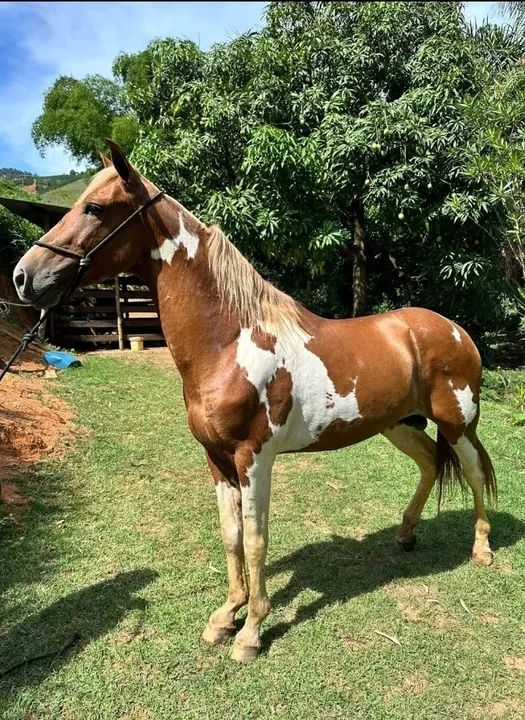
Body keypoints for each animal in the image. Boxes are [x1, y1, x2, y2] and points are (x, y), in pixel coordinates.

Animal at [13, 141, 497, 663]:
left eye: (95, 208)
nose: (23, 277)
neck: (230, 344)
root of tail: (454, 329)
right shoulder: (216, 460)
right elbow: (231, 537)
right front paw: (227, 615)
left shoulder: (254, 459)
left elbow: (257, 539)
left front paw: (251, 632)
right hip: (399, 424)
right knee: (429, 464)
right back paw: (405, 535)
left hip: (456, 424)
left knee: (472, 472)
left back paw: (482, 550)